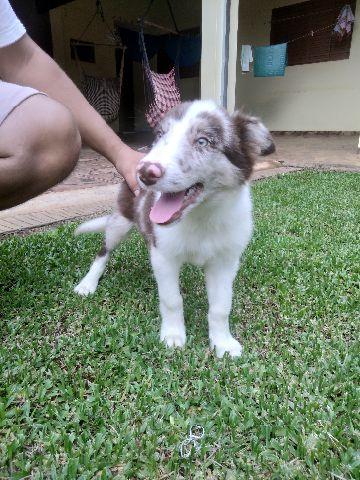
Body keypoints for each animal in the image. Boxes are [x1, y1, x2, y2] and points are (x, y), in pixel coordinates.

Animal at [74, 100, 274, 356]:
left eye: (202, 141)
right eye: (160, 135)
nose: (144, 172)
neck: (201, 217)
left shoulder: (225, 262)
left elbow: (221, 307)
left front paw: (222, 342)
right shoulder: (164, 257)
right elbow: (172, 300)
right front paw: (172, 336)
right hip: (120, 221)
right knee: (103, 252)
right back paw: (88, 283)